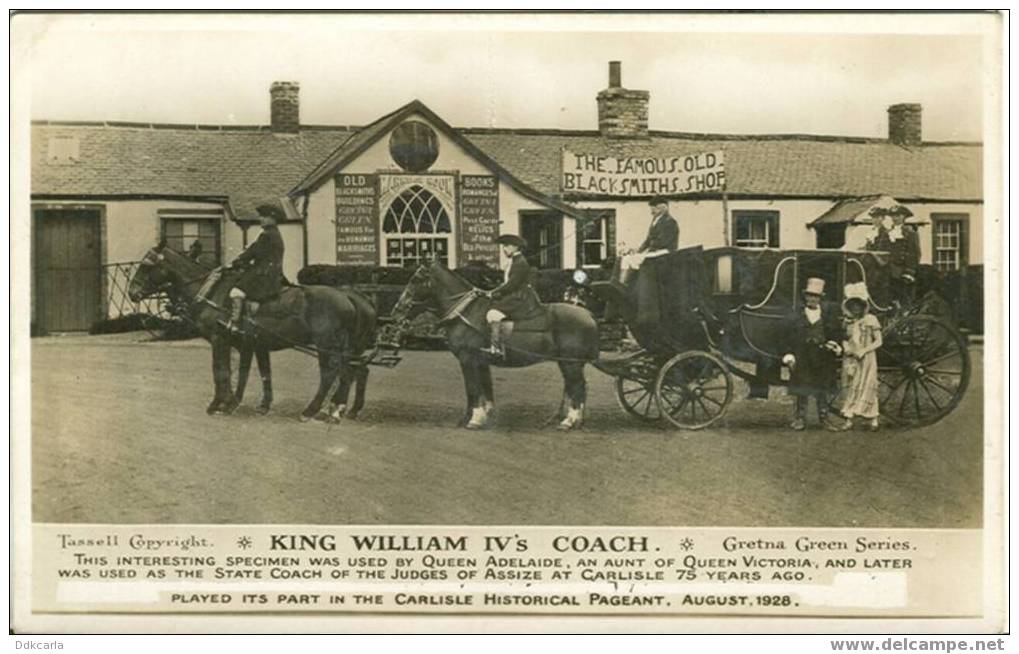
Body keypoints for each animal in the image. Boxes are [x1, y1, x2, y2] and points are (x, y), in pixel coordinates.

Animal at [129, 242, 377, 419]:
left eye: (146, 266)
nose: (132, 293)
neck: (212, 292)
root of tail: (349, 295)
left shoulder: (220, 340)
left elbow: (221, 371)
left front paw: (219, 403)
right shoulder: (251, 343)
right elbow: (250, 372)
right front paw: (241, 402)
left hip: (327, 343)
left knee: (332, 372)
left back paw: (315, 409)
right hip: (338, 347)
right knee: (350, 370)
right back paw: (338, 408)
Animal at [387, 256, 595, 429]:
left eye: (415, 280)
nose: (396, 311)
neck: (465, 312)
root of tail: (588, 314)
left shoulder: (468, 359)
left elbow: (472, 389)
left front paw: (474, 419)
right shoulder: (480, 362)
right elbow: (484, 390)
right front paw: (482, 416)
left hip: (570, 364)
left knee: (576, 386)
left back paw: (569, 421)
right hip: (569, 363)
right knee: (578, 387)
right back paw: (575, 420)